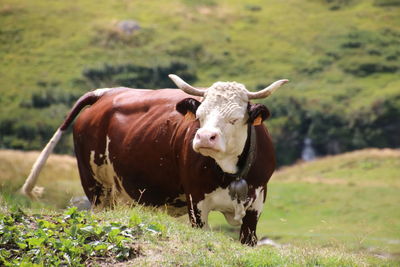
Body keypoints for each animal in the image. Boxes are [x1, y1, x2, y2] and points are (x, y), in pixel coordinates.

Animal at [21, 74, 288, 246]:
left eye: (234, 118)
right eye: (199, 116)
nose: (204, 137)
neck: (230, 173)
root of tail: (107, 93)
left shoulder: (256, 204)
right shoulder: (196, 203)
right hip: (96, 187)